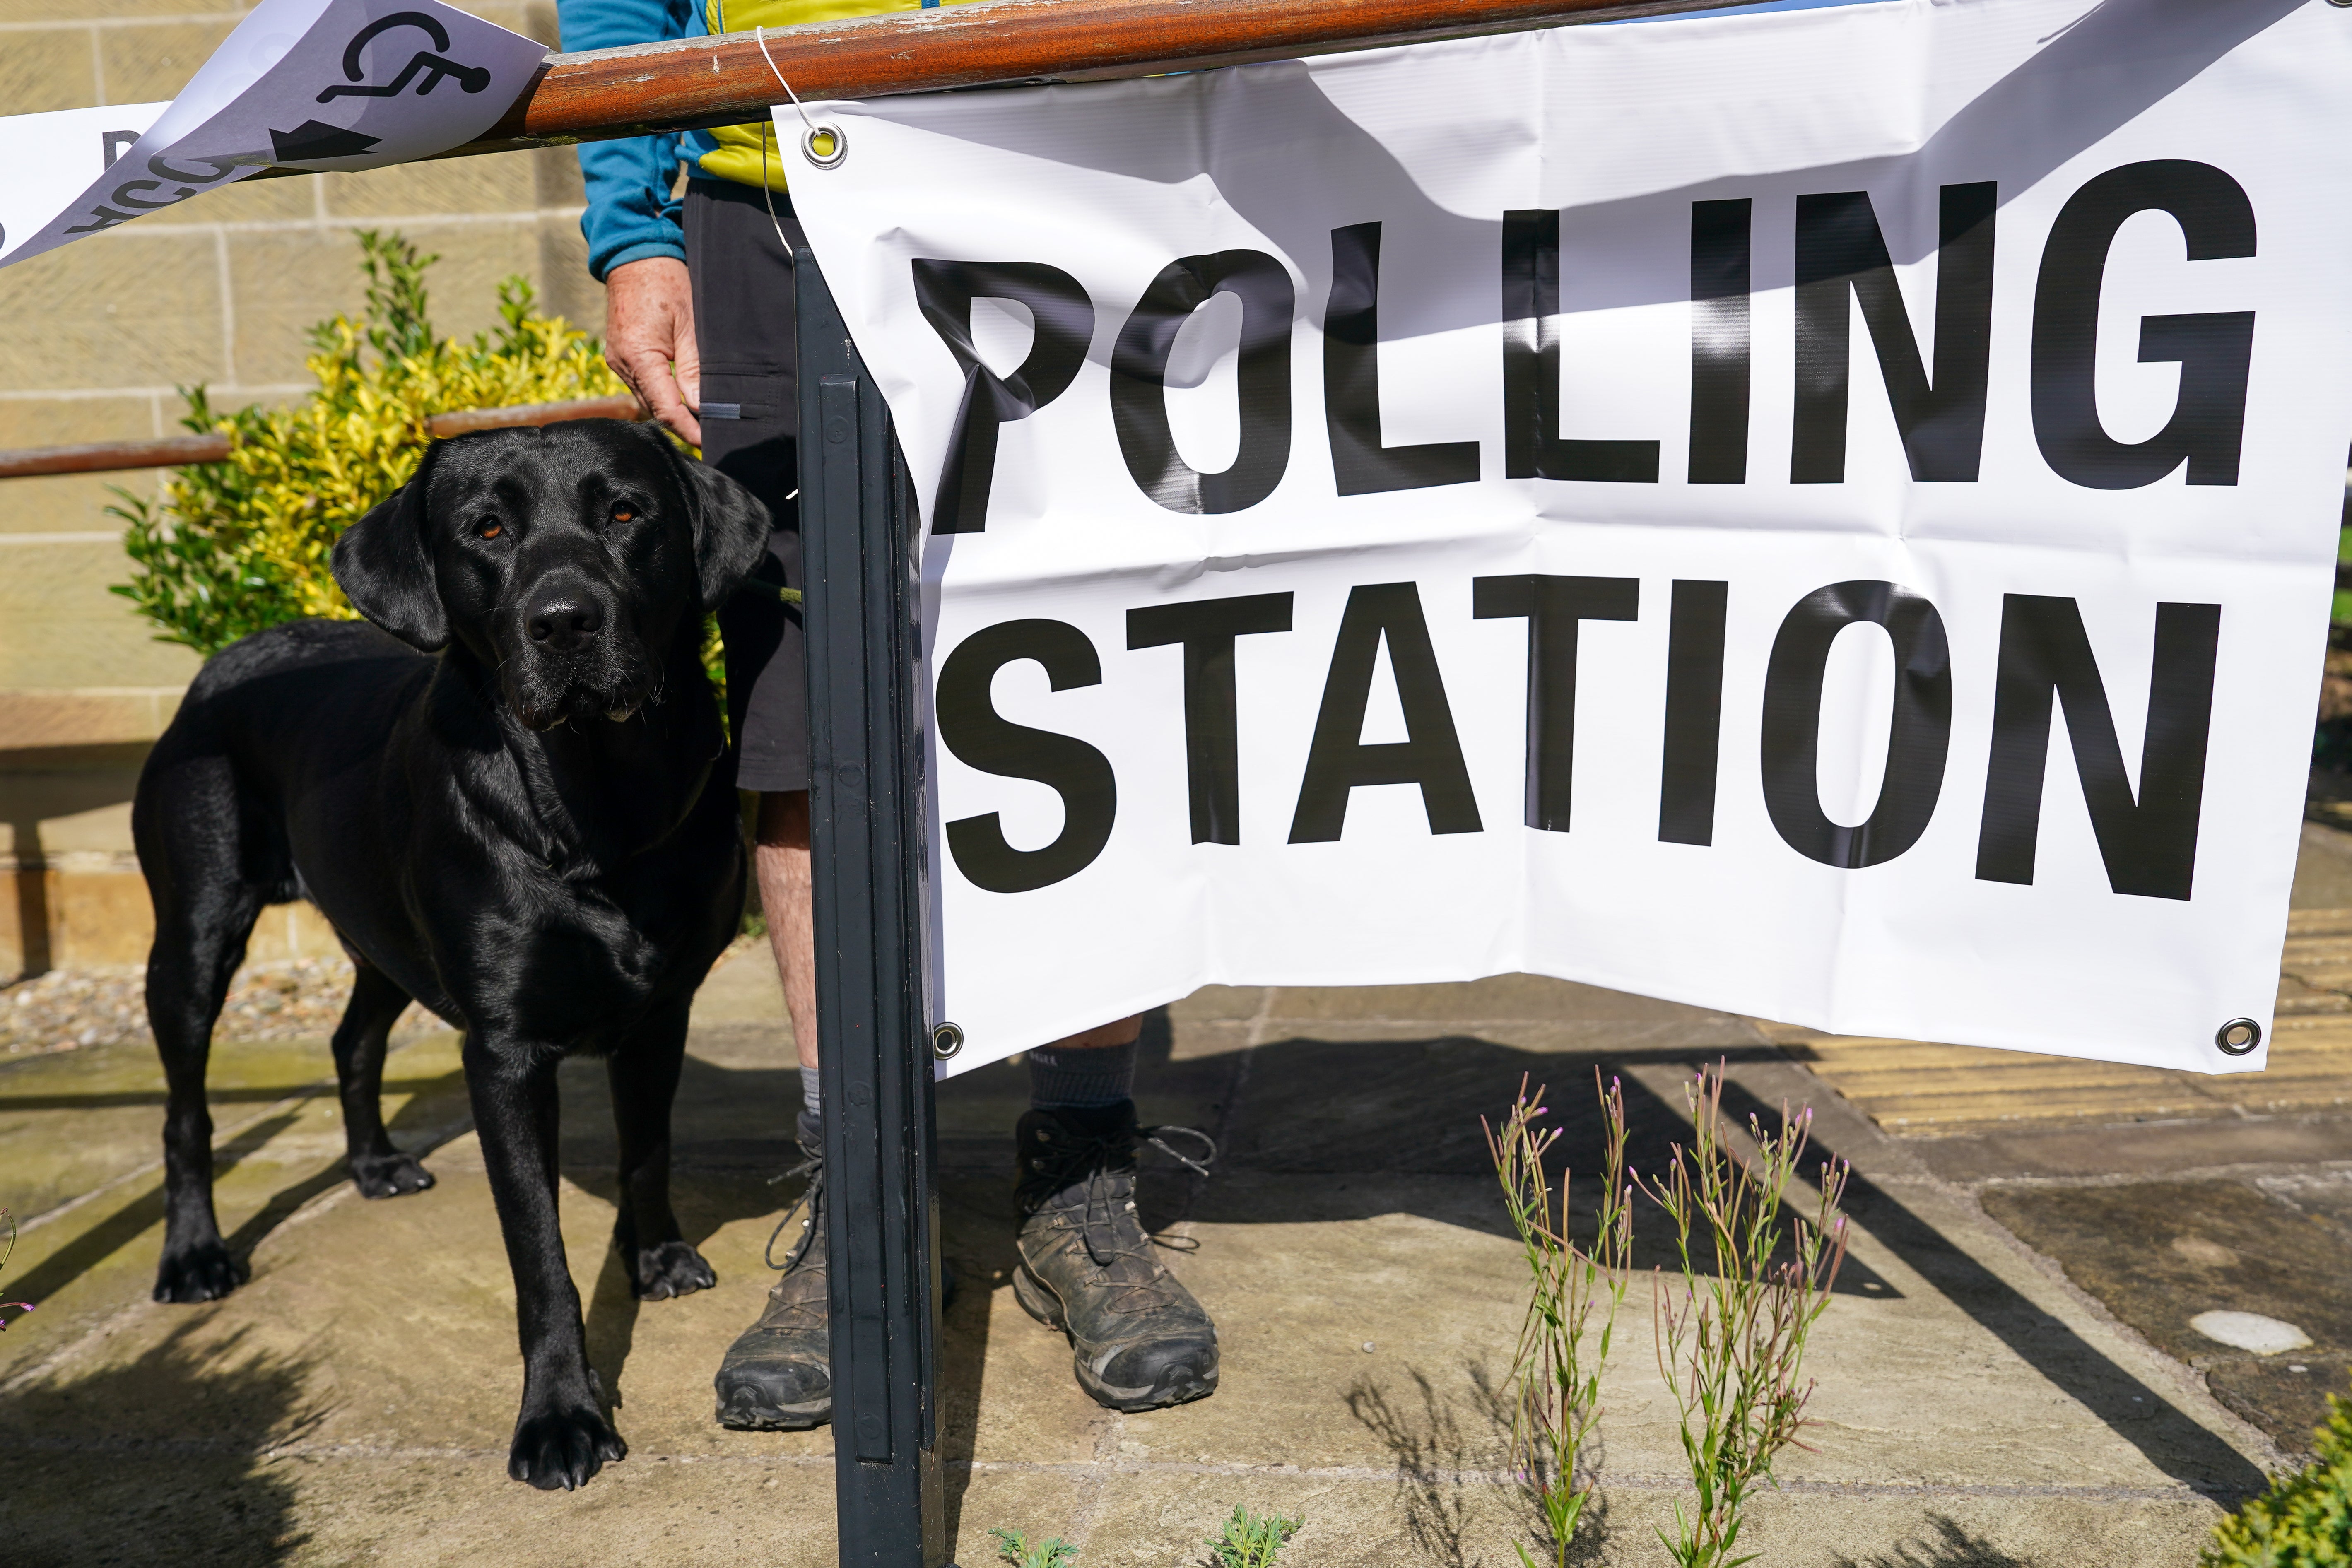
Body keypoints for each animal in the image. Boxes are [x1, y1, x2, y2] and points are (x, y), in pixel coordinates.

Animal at [131, 421, 762, 1495]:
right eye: (488, 529)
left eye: (626, 511)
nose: (564, 622)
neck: (597, 799)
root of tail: (227, 658)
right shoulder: (503, 1050)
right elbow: (540, 1254)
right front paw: (560, 1419)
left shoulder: (660, 1011)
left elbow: (646, 1150)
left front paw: (656, 1256)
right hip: (195, 937)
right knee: (186, 1114)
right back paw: (195, 1256)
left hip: (385, 943)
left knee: (350, 1040)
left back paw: (375, 1164)